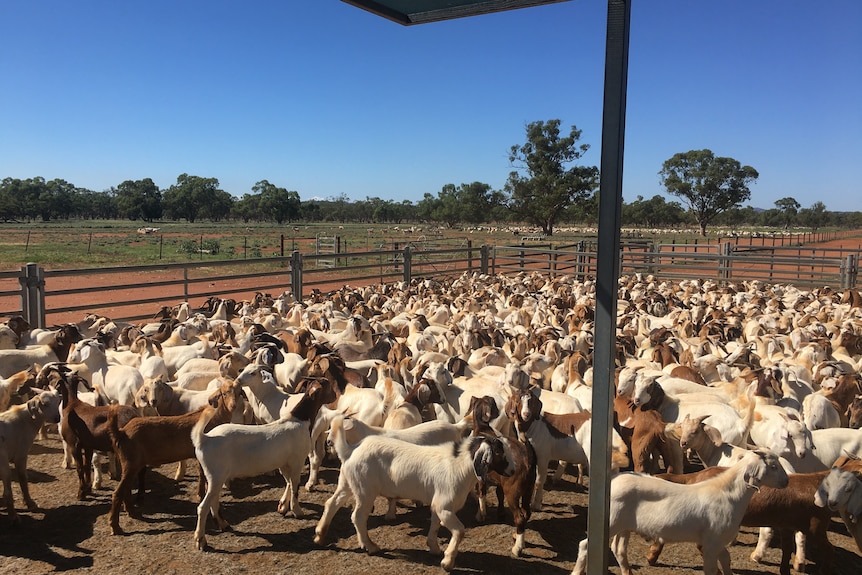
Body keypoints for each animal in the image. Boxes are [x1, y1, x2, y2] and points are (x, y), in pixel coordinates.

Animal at [0, 390, 61, 524]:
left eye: (58, 402)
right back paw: (13, 516)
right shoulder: (21, 455)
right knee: (7, 491)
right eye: (45, 404)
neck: (24, 421)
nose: (57, 418)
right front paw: (30, 503)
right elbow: (23, 479)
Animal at [192, 380, 338, 552]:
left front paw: (283, 506)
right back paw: (201, 540)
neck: (299, 419)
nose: (335, 396)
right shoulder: (297, 461)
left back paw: (223, 524)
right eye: (328, 386)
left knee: (213, 502)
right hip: (216, 475)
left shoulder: (284, 462)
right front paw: (297, 511)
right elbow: (295, 486)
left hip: (216, 477)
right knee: (203, 507)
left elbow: (288, 482)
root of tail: (204, 439)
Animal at [572, 452, 788, 575]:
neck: (729, 495)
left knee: (618, 549)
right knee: (585, 545)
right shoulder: (711, 542)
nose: (786, 482)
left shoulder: (717, 541)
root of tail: (614, 480)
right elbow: (712, 568)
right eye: (773, 466)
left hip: (624, 525)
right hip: (610, 520)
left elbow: (726, 560)